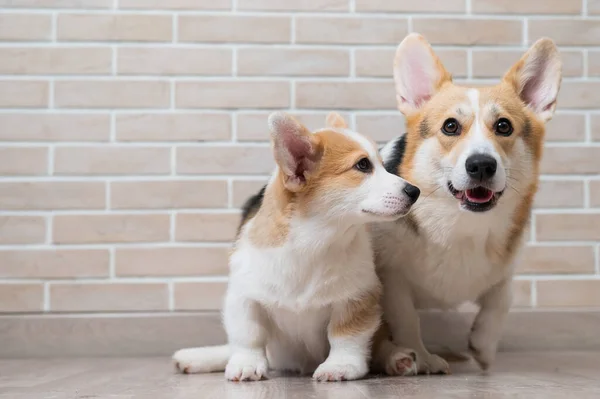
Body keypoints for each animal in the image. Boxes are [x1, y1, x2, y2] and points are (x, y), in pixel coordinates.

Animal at [171, 111, 420, 382]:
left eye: (383, 165)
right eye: (363, 165)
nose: (414, 191)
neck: (316, 241)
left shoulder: (357, 298)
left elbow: (346, 336)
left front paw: (340, 366)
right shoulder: (245, 297)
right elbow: (248, 336)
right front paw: (247, 363)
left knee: (382, 345)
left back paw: (399, 358)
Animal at [376, 34, 564, 376]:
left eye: (503, 126)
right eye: (450, 126)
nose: (481, 165)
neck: (462, 225)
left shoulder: (506, 270)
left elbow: (501, 300)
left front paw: (483, 347)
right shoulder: (391, 277)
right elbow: (406, 319)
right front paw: (422, 357)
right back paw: (398, 359)